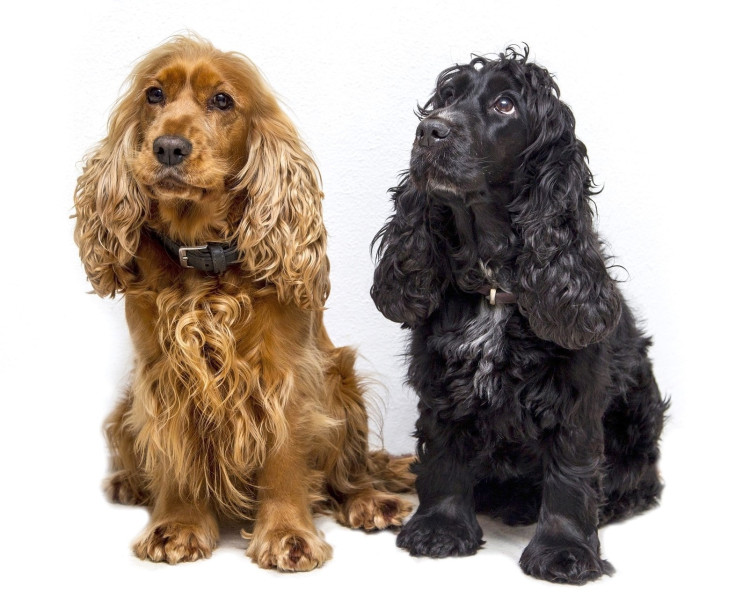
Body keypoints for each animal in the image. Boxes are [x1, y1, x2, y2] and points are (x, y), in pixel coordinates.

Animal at [73, 35, 412, 571]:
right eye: (154, 95)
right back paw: (129, 483)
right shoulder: (165, 375)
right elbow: (177, 456)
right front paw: (177, 526)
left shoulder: (285, 373)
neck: (203, 258)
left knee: (351, 470)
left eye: (222, 101)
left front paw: (288, 534)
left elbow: (285, 457)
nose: (168, 147)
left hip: (342, 379)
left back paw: (368, 501)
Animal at [371, 46, 667, 584]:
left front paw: (565, 551)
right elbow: (443, 453)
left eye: (505, 104)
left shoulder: (575, 390)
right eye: (446, 98)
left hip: (640, 404)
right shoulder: (441, 377)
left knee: (639, 477)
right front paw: (440, 529)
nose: (429, 131)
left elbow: (571, 474)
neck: (494, 281)